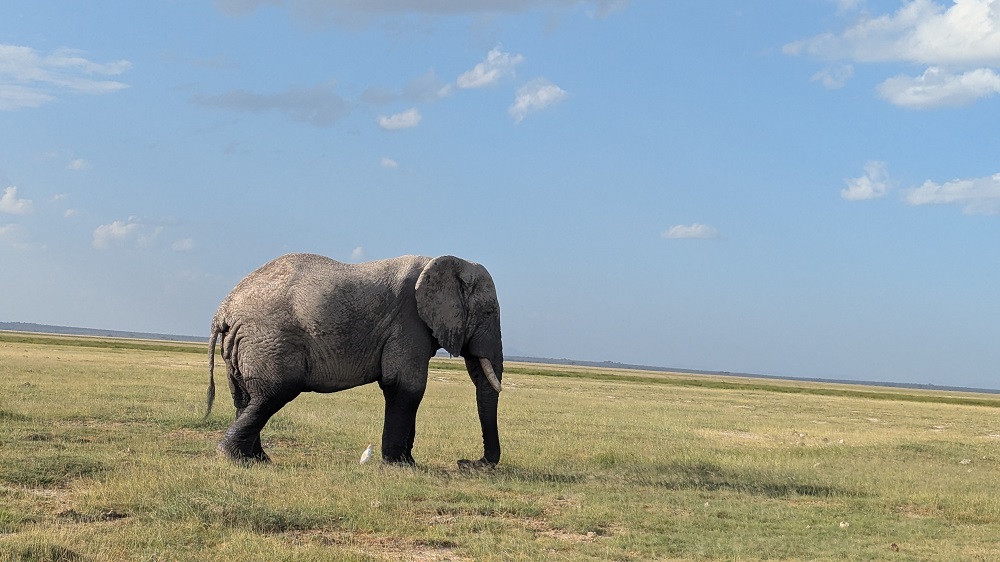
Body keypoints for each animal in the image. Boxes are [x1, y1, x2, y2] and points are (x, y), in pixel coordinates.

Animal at [205, 253, 504, 468]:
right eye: (489, 312)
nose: (467, 463)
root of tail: (223, 310)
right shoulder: (409, 323)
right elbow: (407, 386)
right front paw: (400, 467)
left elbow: (406, 388)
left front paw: (408, 463)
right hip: (269, 340)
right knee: (274, 393)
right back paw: (233, 458)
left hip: (242, 345)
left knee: (245, 398)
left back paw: (256, 459)